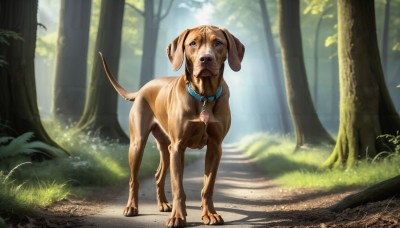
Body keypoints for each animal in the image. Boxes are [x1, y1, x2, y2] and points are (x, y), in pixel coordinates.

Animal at [100, 25, 244, 227]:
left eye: (218, 42)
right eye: (193, 43)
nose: (205, 59)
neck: (204, 95)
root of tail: (142, 88)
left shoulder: (215, 147)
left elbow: (208, 186)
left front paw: (209, 213)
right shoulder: (178, 147)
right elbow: (178, 187)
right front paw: (178, 216)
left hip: (166, 147)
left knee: (158, 175)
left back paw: (163, 204)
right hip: (138, 144)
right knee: (133, 179)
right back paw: (132, 207)